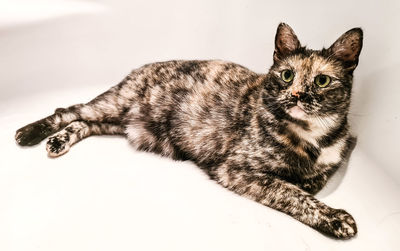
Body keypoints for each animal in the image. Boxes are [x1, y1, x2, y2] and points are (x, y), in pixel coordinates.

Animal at [14, 23, 362, 239]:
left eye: (322, 80)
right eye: (287, 75)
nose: (297, 95)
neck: (313, 137)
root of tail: (141, 67)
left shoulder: (337, 153)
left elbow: (314, 179)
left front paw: (308, 181)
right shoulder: (235, 170)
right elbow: (293, 193)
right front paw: (334, 218)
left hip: (117, 122)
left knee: (82, 123)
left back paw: (58, 142)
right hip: (113, 104)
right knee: (68, 111)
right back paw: (31, 133)